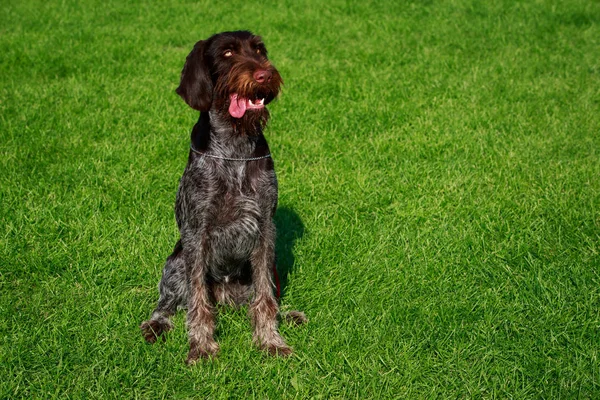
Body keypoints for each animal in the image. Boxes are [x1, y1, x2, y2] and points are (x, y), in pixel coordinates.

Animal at [141, 31, 308, 362]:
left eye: (260, 50)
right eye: (228, 53)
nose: (265, 74)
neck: (235, 146)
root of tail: (226, 295)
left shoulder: (264, 228)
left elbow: (265, 298)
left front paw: (270, 340)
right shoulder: (196, 232)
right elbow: (197, 302)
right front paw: (202, 347)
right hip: (176, 263)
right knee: (168, 302)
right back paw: (156, 324)